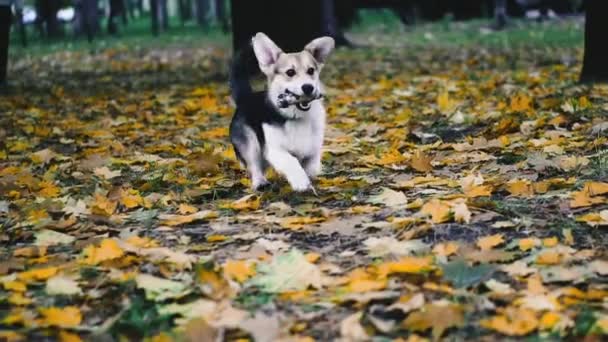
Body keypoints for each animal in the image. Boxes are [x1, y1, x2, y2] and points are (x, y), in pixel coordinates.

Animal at [229, 32, 334, 192]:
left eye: (311, 70)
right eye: (290, 72)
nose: (308, 87)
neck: (297, 117)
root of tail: (246, 98)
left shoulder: (314, 150)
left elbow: (311, 167)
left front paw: (309, 179)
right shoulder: (274, 150)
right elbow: (291, 161)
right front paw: (301, 182)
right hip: (250, 143)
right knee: (254, 165)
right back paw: (260, 182)